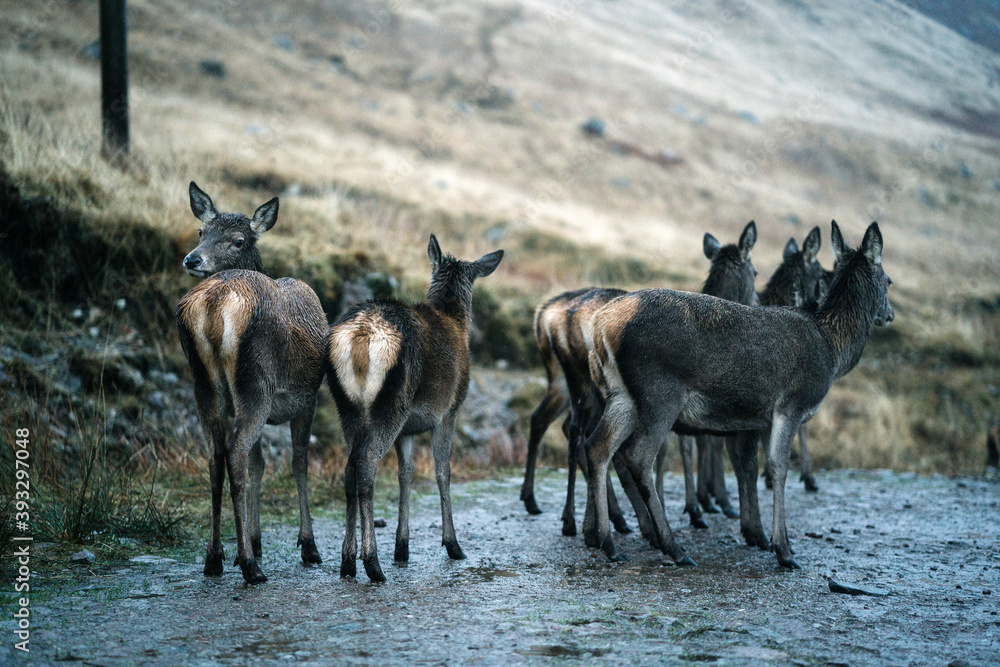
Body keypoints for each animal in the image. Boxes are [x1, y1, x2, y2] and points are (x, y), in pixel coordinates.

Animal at [174, 183, 324, 584]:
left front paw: (256, 540)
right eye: (201, 231)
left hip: (204, 383)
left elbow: (260, 464)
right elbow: (298, 462)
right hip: (255, 379)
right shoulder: (308, 399)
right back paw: (249, 566)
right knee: (235, 452)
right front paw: (308, 545)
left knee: (216, 456)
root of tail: (214, 306)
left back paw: (215, 557)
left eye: (237, 240)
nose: (192, 259)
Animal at [324, 237, 504, 580]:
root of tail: (360, 337)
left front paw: (402, 547)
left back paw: (347, 561)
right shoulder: (449, 410)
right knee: (366, 467)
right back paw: (372, 563)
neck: (455, 321)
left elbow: (405, 474)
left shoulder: (408, 428)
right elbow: (442, 471)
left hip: (347, 404)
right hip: (392, 402)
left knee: (350, 469)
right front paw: (453, 545)